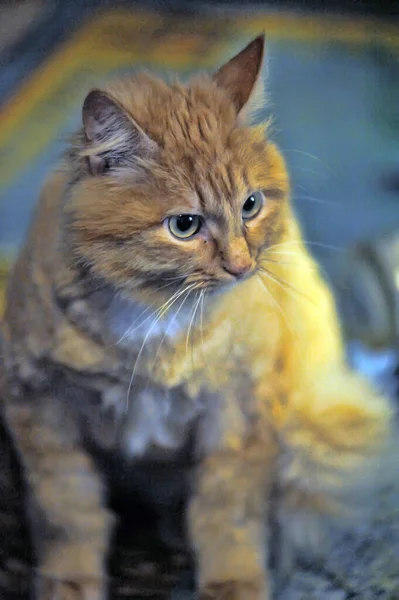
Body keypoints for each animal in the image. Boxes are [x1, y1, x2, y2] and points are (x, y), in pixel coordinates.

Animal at [0, 35, 396, 596]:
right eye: (184, 225)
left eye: (251, 205)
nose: (241, 266)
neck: (156, 313)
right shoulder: (39, 408)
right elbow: (69, 513)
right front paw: (69, 580)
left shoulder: (238, 412)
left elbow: (225, 513)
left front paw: (232, 582)